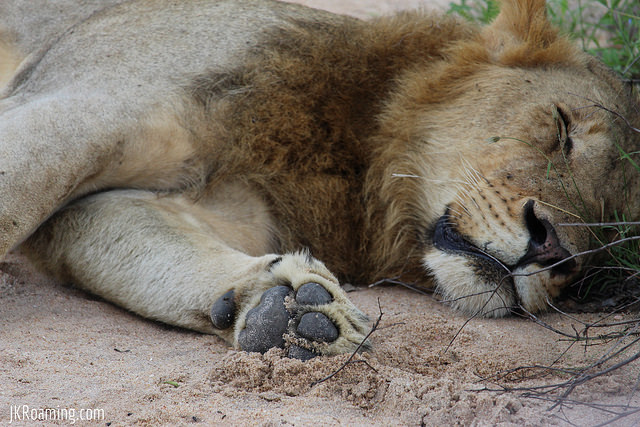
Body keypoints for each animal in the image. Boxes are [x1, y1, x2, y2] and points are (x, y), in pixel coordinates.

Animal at [0, 0, 638, 359]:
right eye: (562, 129)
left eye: (608, 236)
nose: (553, 253)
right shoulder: (87, 102)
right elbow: (14, 197)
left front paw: (281, 310)